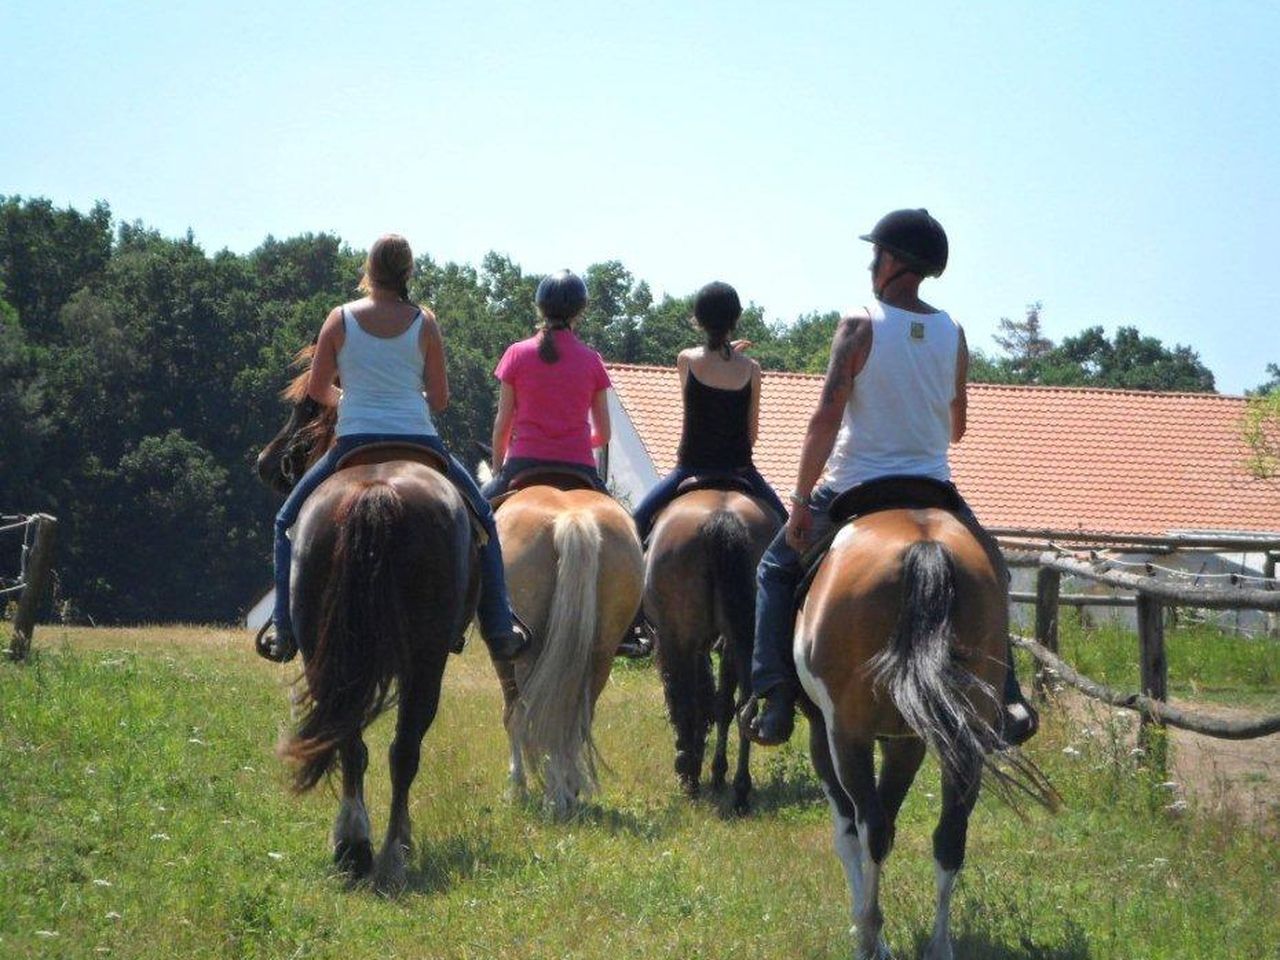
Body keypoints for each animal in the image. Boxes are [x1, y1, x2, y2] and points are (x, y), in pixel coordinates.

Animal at [257, 358, 478, 901]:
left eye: (303, 408)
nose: (266, 463)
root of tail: (376, 493)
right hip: (422, 662)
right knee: (399, 749)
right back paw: (388, 850)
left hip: (330, 655)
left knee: (355, 743)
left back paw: (357, 848)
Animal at [491, 471, 650, 814]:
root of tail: (572, 518)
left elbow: (511, 715)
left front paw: (516, 786)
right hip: (602, 653)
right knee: (572, 719)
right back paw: (567, 789)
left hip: (526, 656)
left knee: (530, 713)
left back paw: (552, 794)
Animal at [645, 488, 773, 814]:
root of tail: (722, 519)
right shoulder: (726, 644)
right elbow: (721, 704)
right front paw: (717, 772)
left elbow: (691, 699)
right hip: (745, 636)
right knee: (744, 705)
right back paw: (740, 790)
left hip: (680, 636)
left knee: (686, 700)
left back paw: (690, 775)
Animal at [793, 506, 1054, 957]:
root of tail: (925, 547)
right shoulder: (908, 741)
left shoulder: (823, 732)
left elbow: (847, 832)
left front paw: (862, 926)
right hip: (962, 736)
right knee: (948, 836)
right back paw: (938, 945)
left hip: (848, 733)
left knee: (871, 827)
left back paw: (869, 936)